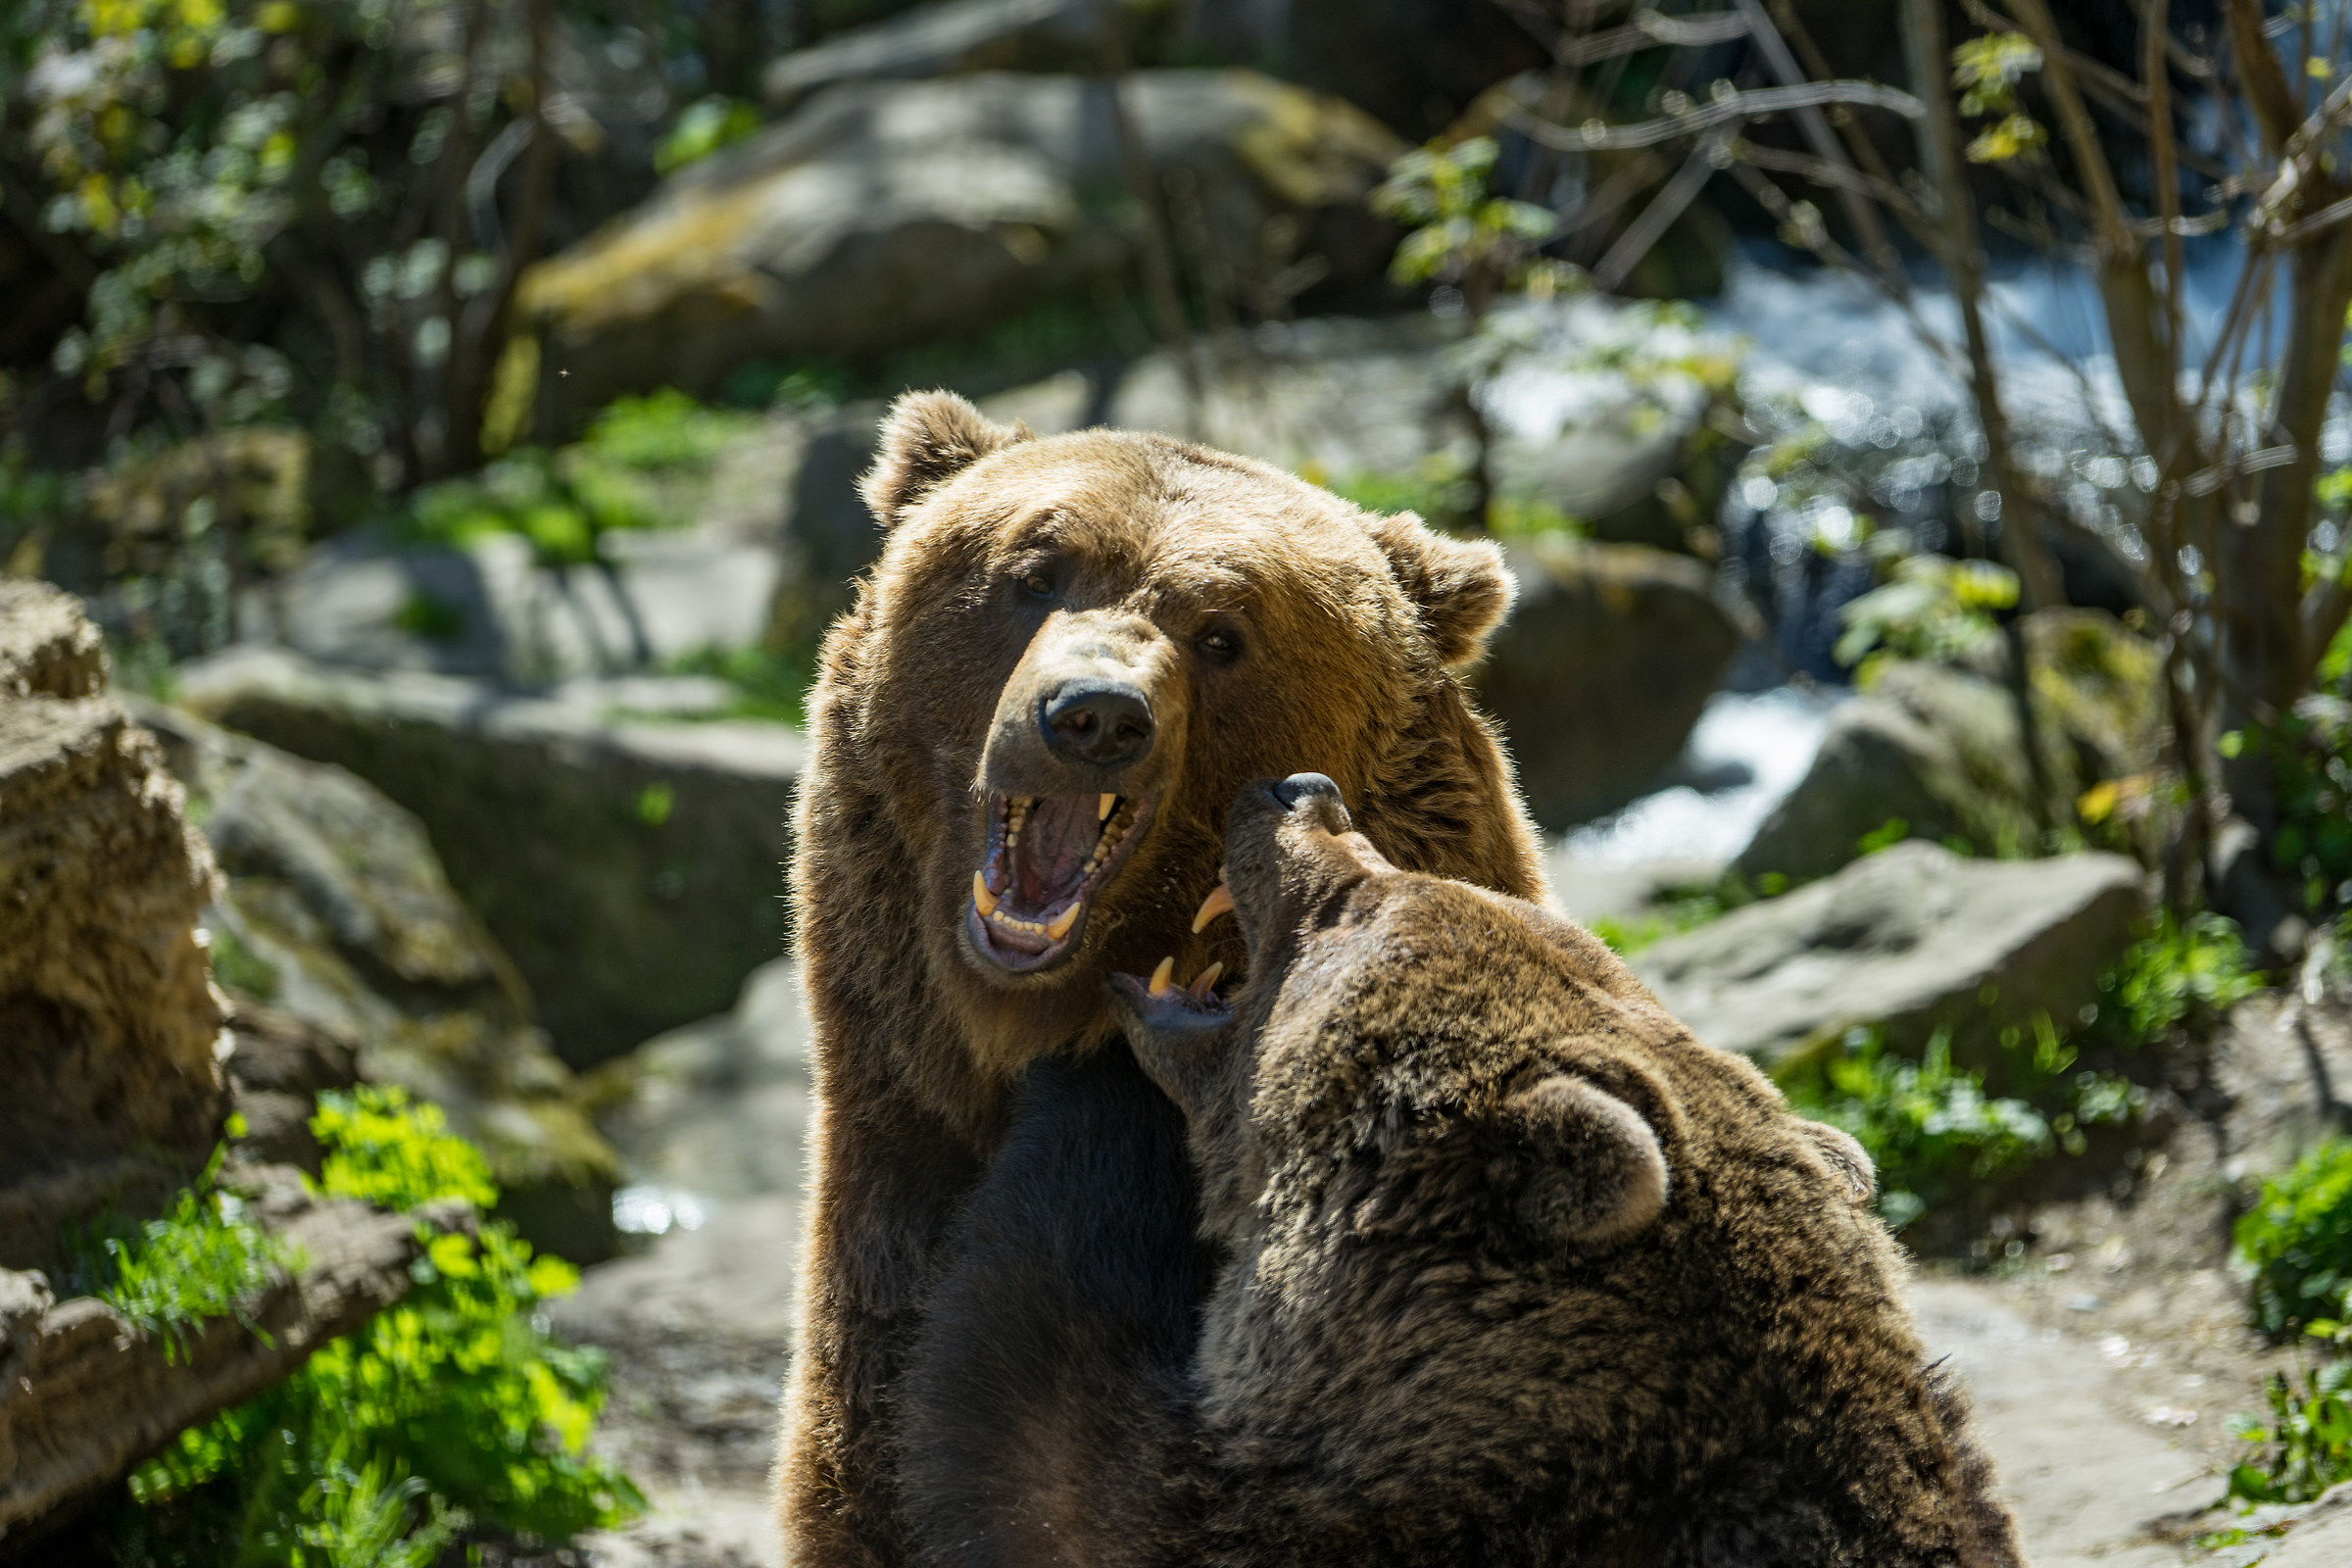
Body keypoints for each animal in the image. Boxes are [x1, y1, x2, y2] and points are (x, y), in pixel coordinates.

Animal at [897, 773, 2027, 1568]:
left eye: (1363, 898)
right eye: (1402, 874)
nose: (1299, 787)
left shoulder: (1267, 1519)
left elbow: (1030, 1417)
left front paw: (1085, 1075)